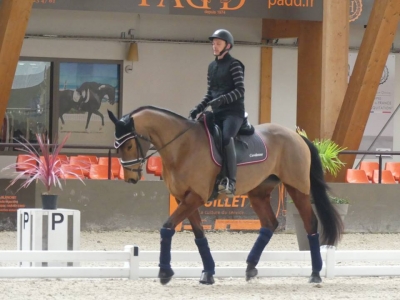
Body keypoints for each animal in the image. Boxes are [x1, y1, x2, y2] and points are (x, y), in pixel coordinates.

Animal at [107, 106, 344, 286]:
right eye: (117, 146)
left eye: (129, 144)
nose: (130, 178)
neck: (182, 146)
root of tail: (297, 136)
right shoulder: (186, 198)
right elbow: (199, 235)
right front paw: (208, 273)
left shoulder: (195, 197)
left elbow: (167, 227)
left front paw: (165, 272)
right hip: (258, 193)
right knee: (270, 223)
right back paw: (250, 267)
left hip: (297, 188)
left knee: (310, 224)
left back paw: (315, 273)